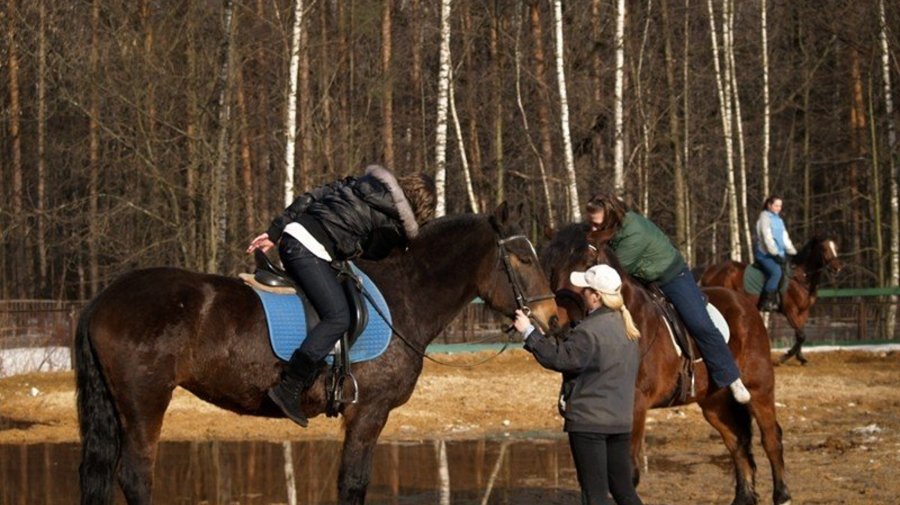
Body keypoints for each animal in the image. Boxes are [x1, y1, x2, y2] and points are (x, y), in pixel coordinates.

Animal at [74, 204, 559, 505]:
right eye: (521, 258)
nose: (552, 318)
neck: (401, 296)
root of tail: (103, 299)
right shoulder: (369, 412)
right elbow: (353, 483)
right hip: (145, 401)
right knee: (137, 477)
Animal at [541, 224, 791, 505]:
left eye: (586, 265)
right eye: (551, 266)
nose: (556, 322)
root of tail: (746, 305)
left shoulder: (635, 408)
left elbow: (627, 474)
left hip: (759, 388)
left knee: (771, 438)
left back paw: (782, 495)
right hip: (713, 402)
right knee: (737, 441)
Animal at [700, 236, 842, 365]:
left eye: (836, 248)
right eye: (824, 248)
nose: (837, 268)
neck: (801, 277)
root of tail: (710, 271)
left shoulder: (803, 312)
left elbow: (800, 335)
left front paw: (801, 358)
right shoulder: (790, 311)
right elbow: (801, 336)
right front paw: (782, 358)